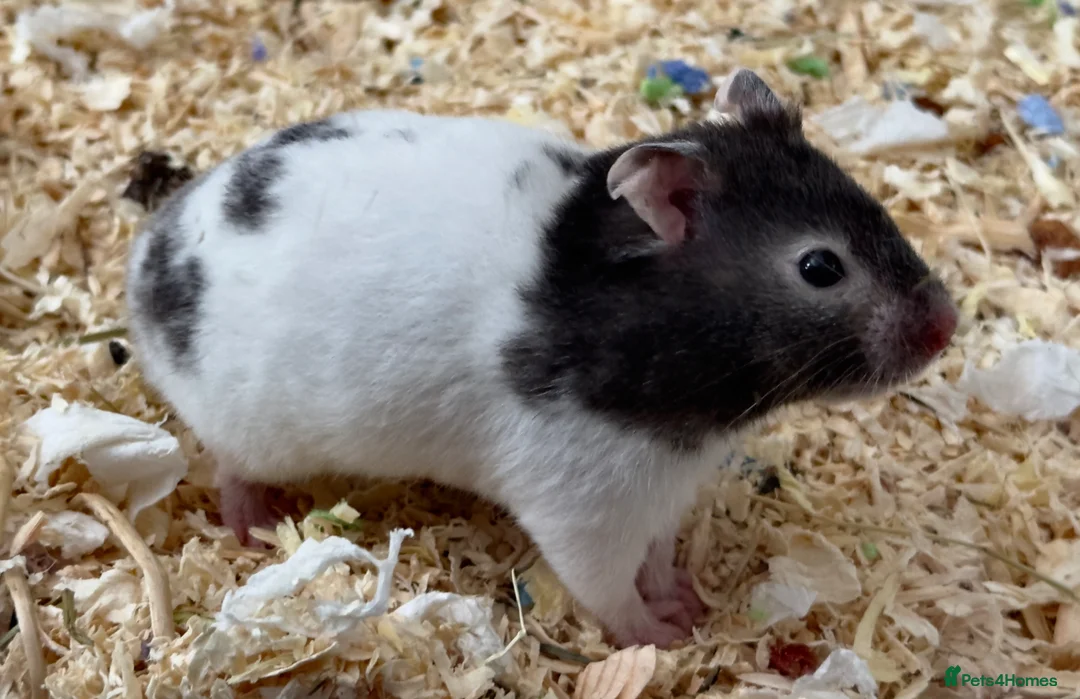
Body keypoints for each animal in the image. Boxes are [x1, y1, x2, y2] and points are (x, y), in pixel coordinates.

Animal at [124, 69, 957, 649]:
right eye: (820, 267)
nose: (948, 325)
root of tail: (145, 262)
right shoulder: (584, 500)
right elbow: (609, 588)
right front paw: (666, 636)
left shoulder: (661, 492)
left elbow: (657, 558)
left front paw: (685, 601)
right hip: (255, 427)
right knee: (232, 467)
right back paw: (257, 528)